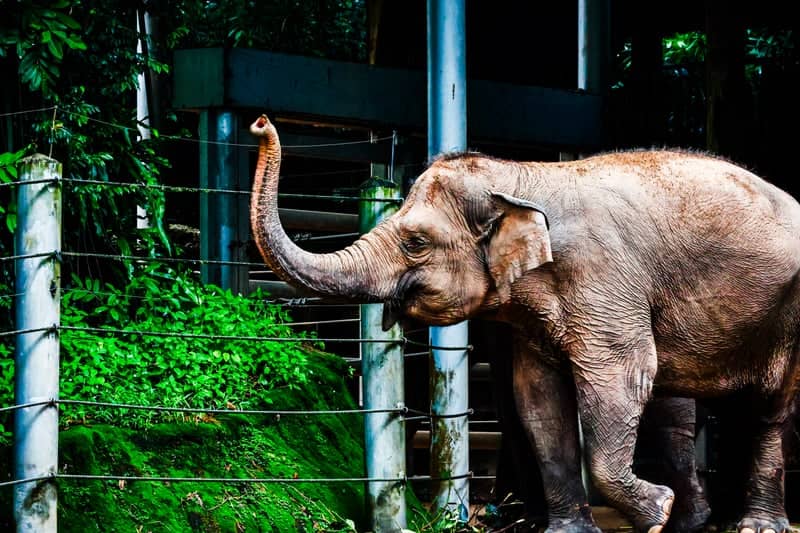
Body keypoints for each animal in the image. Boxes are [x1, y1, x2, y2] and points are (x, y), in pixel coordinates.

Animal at [248, 114, 800, 533]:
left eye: (415, 242)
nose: (260, 122)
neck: (523, 175)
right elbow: (536, 398)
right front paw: (570, 532)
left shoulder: (603, 279)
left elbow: (620, 382)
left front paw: (655, 513)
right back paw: (698, 522)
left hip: (790, 312)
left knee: (770, 407)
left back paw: (752, 526)